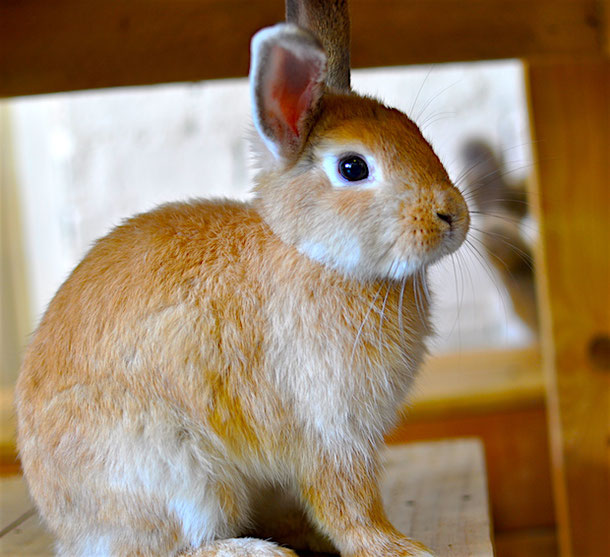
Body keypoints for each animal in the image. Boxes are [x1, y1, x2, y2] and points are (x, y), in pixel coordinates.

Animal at [16, 5, 468, 556]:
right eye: (352, 167)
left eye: (416, 132)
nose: (453, 215)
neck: (311, 253)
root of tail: (69, 529)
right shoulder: (331, 430)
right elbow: (347, 503)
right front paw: (398, 548)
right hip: (179, 474)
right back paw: (256, 550)